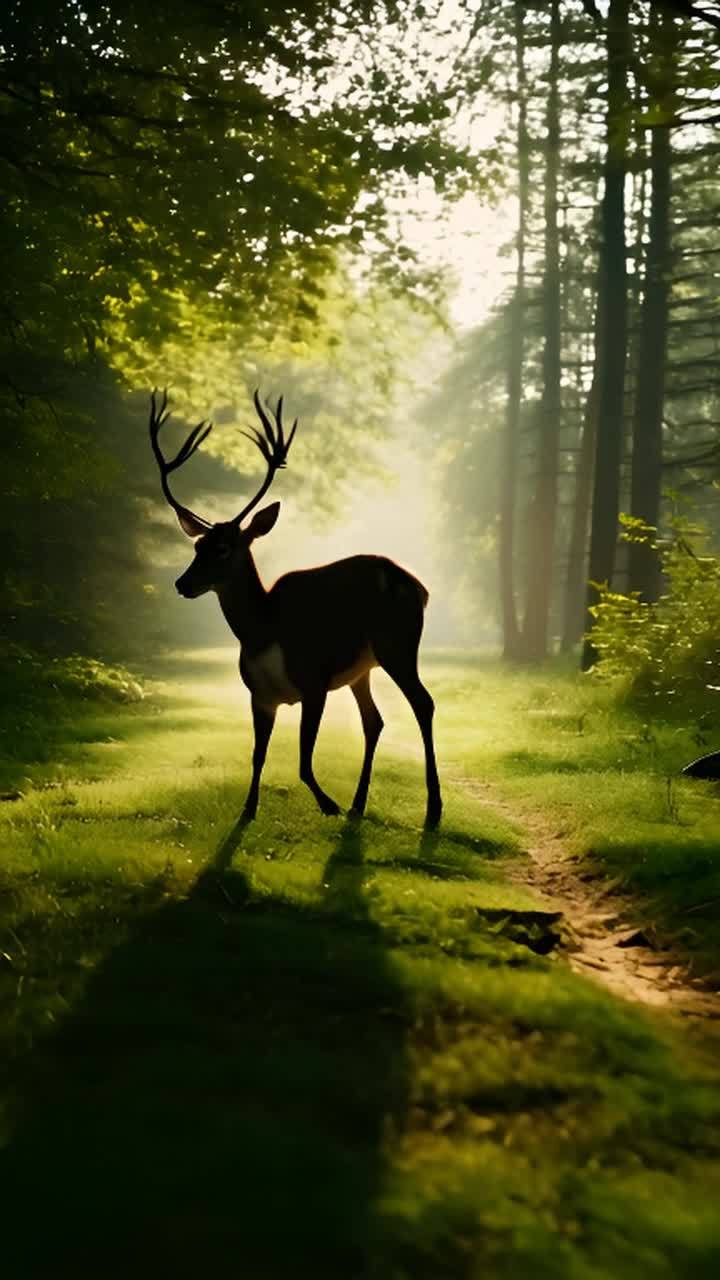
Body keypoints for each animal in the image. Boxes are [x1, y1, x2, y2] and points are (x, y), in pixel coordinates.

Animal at [149, 389, 442, 828]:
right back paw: (359, 804)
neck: (263, 632)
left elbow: (303, 761)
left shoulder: (314, 680)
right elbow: (257, 756)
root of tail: (418, 587)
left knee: (423, 704)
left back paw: (432, 808)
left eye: (224, 548)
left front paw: (327, 803)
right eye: (198, 545)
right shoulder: (259, 694)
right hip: (362, 667)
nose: (183, 584)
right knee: (374, 720)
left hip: (398, 643)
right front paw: (248, 809)